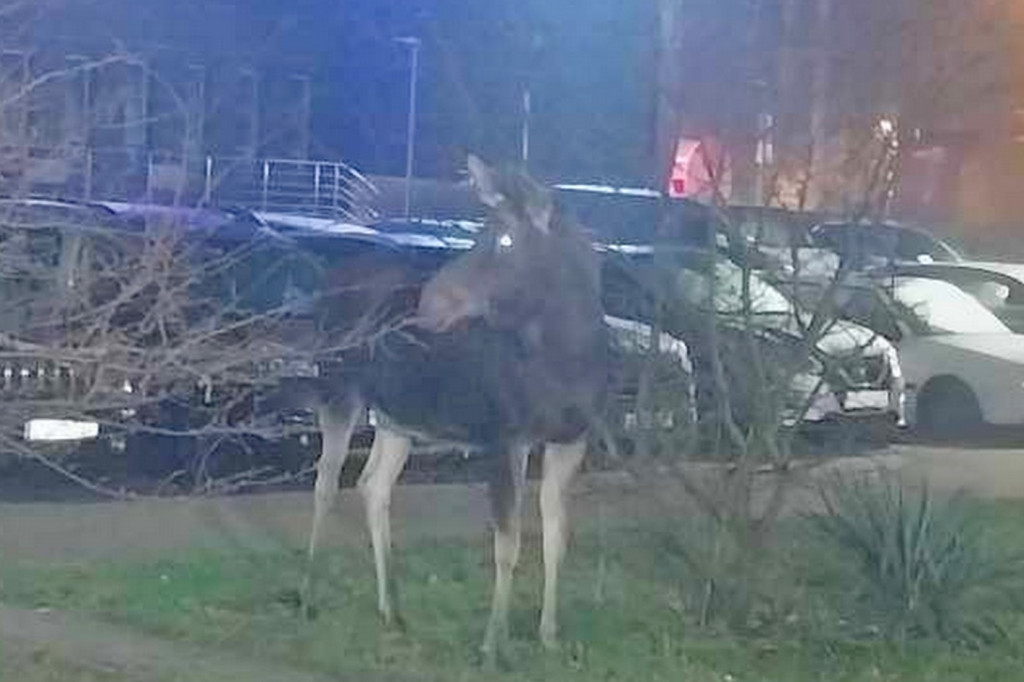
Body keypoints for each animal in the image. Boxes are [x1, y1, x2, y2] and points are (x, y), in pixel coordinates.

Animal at [301, 153, 606, 659]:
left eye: (505, 239)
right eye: (479, 232)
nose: (430, 301)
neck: (569, 358)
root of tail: (327, 281)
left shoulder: (572, 439)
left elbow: (557, 534)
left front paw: (548, 635)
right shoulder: (504, 435)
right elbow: (508, 541)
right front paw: (493, 644)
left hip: (398, 416)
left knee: (372, 485)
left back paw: (391, 608)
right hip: (338, 388)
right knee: (326, 481)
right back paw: (308, 593)